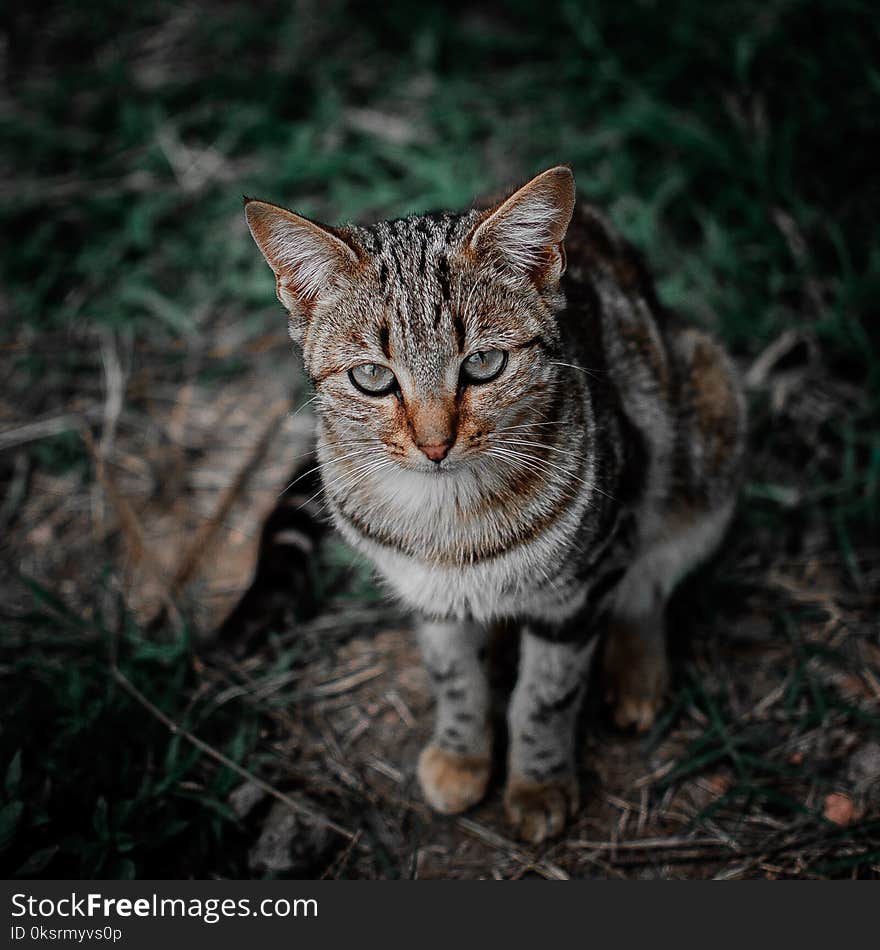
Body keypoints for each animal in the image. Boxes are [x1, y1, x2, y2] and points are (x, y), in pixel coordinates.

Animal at [244, 167, 744, 844]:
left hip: (705, 415)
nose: (434, 444)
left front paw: (538, 783)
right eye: (372, 377)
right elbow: (455, 678)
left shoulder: (581, 583)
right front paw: (462, 755)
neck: (447, 522)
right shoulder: (425, 594)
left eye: (483, 363)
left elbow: (547, 694)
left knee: (648, 578)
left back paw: (636, 669)